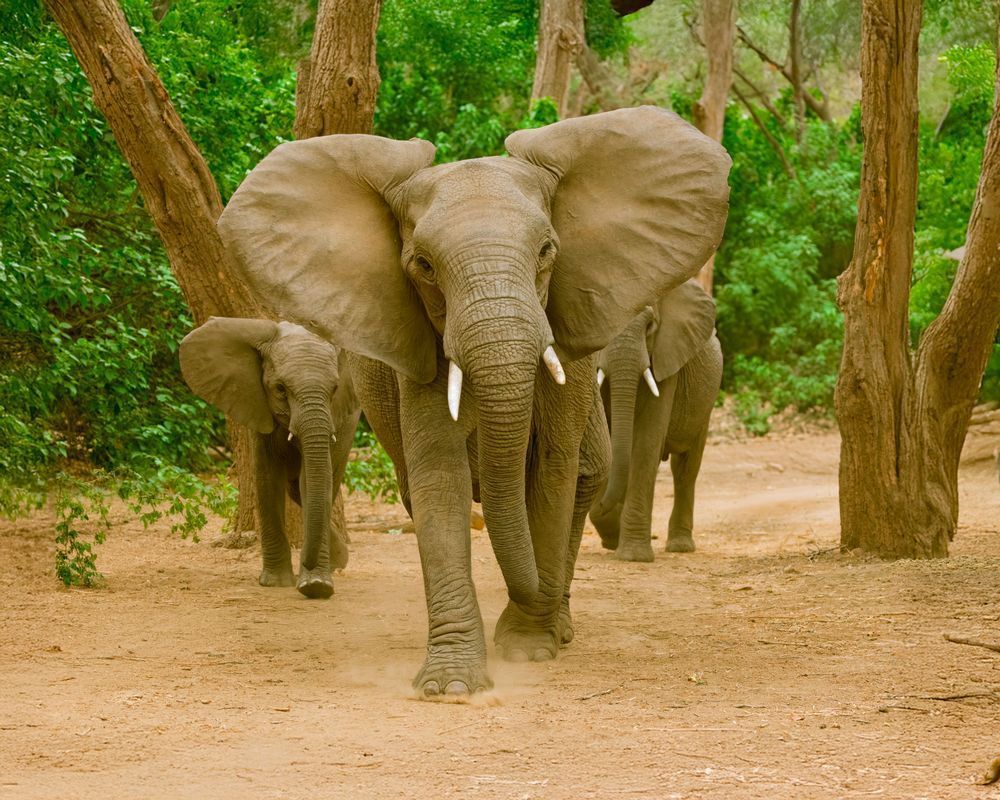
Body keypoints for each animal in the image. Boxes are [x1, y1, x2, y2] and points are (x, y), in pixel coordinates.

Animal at [180, 318, 361, 598]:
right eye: (280, 389)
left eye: (334, 390)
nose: (306, 562)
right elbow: (267, 479)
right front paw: (276, 582)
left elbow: (312, 481)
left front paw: (316, 586)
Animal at [589, 280, 723, 561]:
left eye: (650, 326)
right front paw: (614, 538)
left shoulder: (667, 358)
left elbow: (646, 441)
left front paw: (633, 556)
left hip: (706, 405)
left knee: (685, 469)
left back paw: (680, 546)